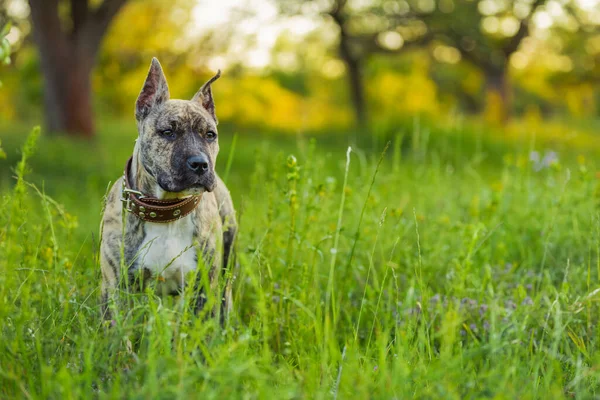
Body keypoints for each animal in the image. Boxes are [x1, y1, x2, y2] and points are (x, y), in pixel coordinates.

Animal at [99, 57, 236, 324]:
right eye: (168, 132)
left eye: (210, 135)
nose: (200, 163)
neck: (166, 209)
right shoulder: (117, 288)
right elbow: (119, 332)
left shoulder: (203, 289)